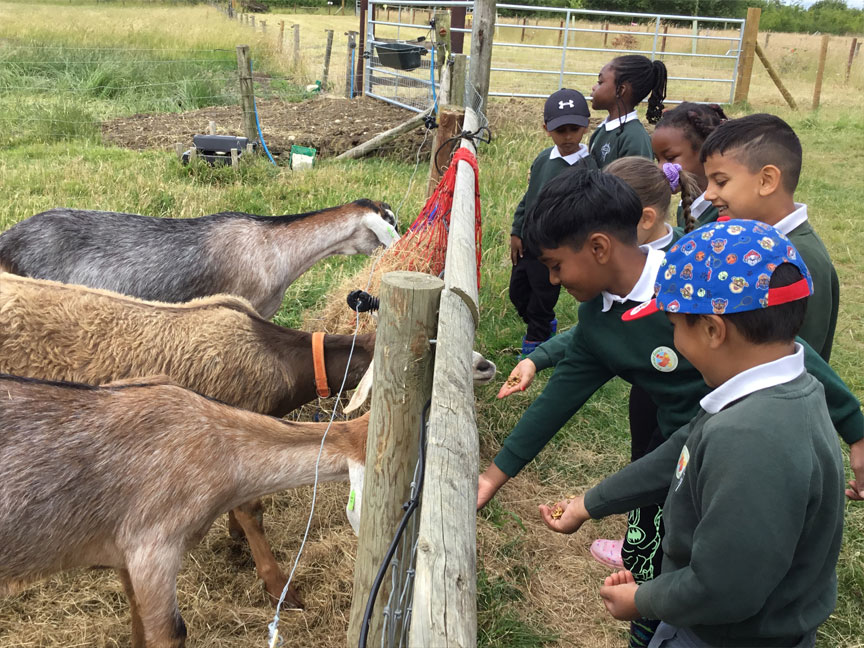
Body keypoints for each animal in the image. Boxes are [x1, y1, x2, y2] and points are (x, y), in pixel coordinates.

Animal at [0, 270, 496, 604]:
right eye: (422, 356)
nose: (485, 365)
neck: (278, 358)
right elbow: (251, 509)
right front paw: (278, 586)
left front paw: (236, 539)